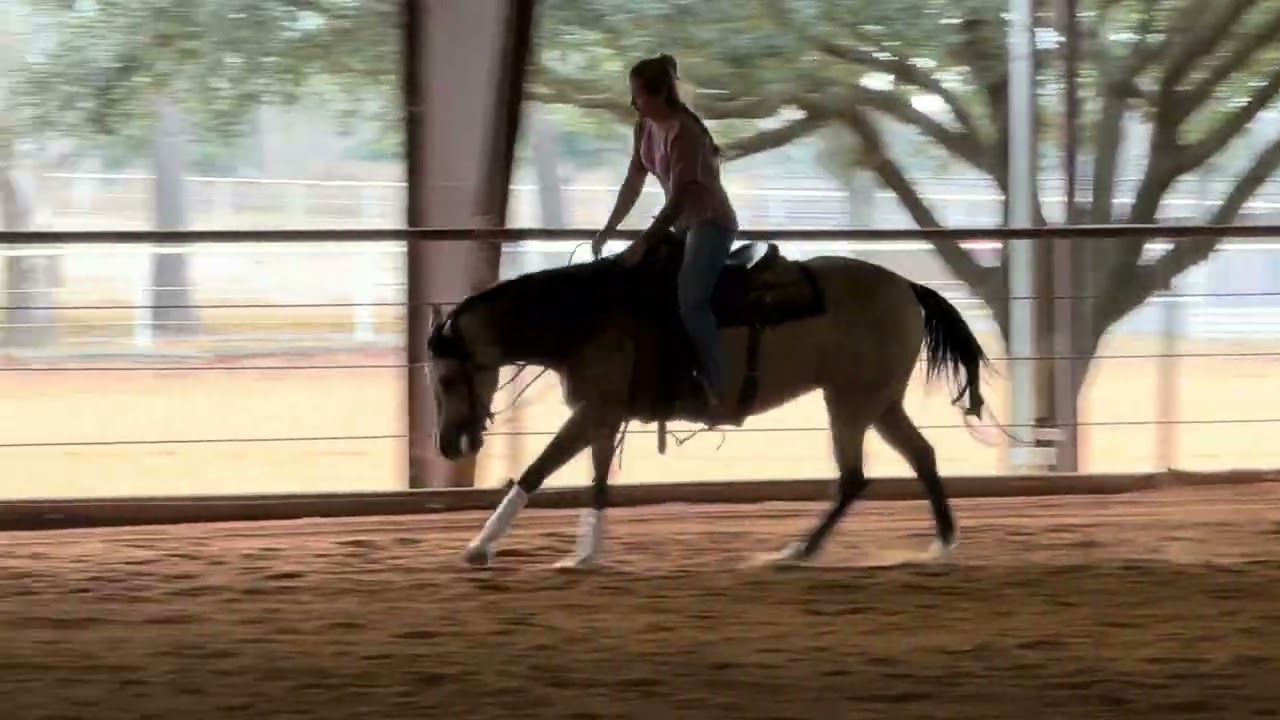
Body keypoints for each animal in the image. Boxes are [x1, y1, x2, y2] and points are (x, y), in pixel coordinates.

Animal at [425, 231, 989, 569]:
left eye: (449, 379)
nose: (449, 446)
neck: (590, 313)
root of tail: (907, 287)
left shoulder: (593, 412)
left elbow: (537, 472)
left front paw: (478, 547)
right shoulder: (603, 414)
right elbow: (599, 483)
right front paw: (585, 555)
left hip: (850, 402)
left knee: (855, 477)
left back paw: (797, 551)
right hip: (880, 401)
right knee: (920, 457)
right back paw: (941, 543)